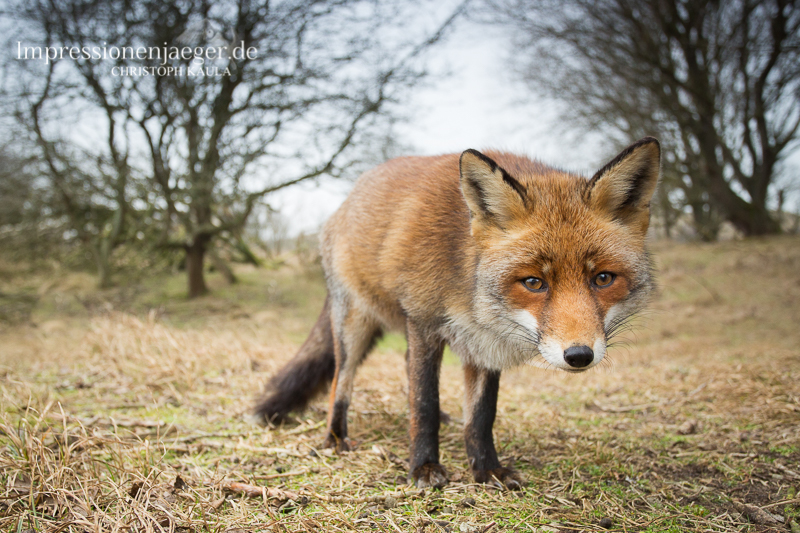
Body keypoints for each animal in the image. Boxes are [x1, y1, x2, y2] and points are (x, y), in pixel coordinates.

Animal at [258, 136, 664, 486]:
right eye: (534, 282)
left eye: (603, 278)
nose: (579, 355)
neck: (470, 288)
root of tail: (347, 198)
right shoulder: (424, 323)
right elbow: (424, 403)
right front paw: (424, 467)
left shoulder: (484, 343)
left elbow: (481, 416)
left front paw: (486, 470)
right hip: (353, 326)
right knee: (340, 384)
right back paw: (335, 438)